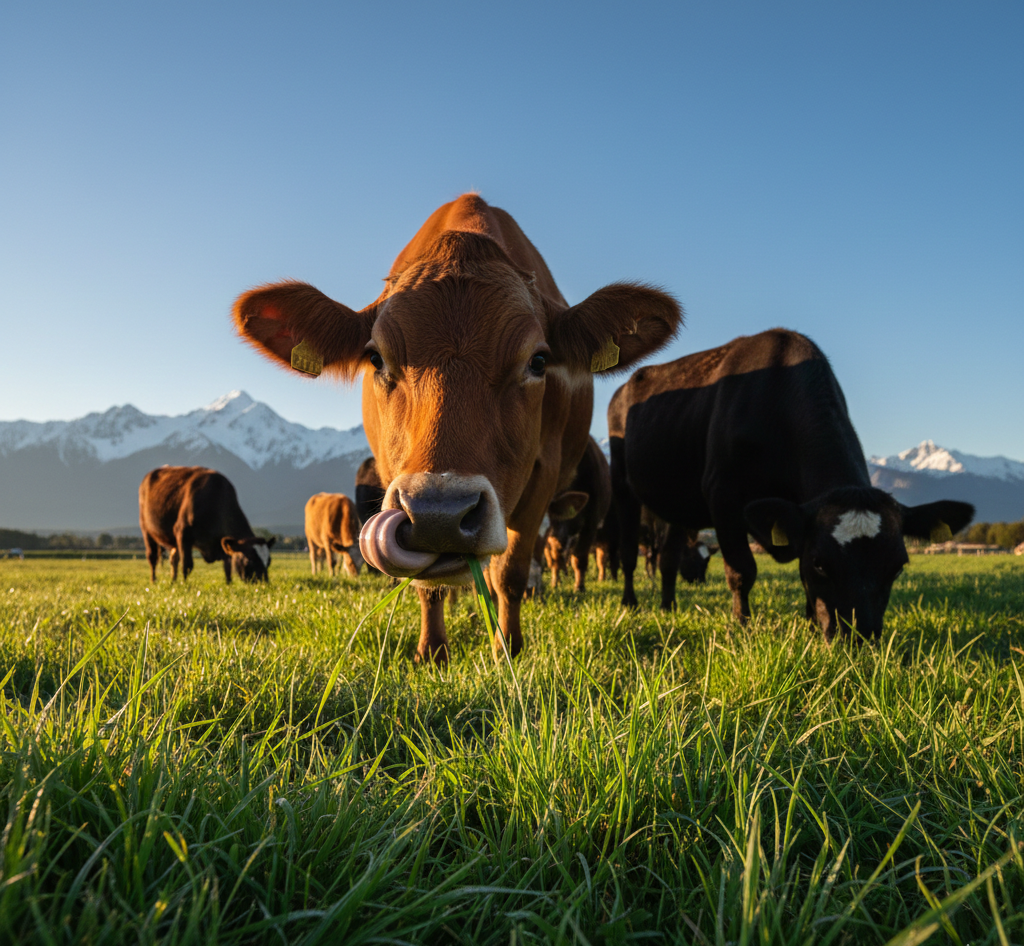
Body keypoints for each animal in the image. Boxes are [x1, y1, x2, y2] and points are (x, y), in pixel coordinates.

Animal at [138, 466, 274, 583]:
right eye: (249, 560)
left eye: (269, 561)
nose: (264, 584)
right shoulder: (182, 533)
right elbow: (187, 565)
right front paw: (185, 586)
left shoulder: (222, 542)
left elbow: (228, 569)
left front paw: (229, 585)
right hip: (146, 530)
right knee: (152, 557)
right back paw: (154, 581)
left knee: (173, 559)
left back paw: (173, 582)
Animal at [609, 329, 974, 639]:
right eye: (821, 563)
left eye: (897, 568)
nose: (859, 637)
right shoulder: (723, 495)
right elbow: (742, 570)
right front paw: (743, 627)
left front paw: (811, 626)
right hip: (623, 485)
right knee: (628, 552)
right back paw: (630, 603)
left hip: (673, 501)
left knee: (668, 558)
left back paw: (668, 607)